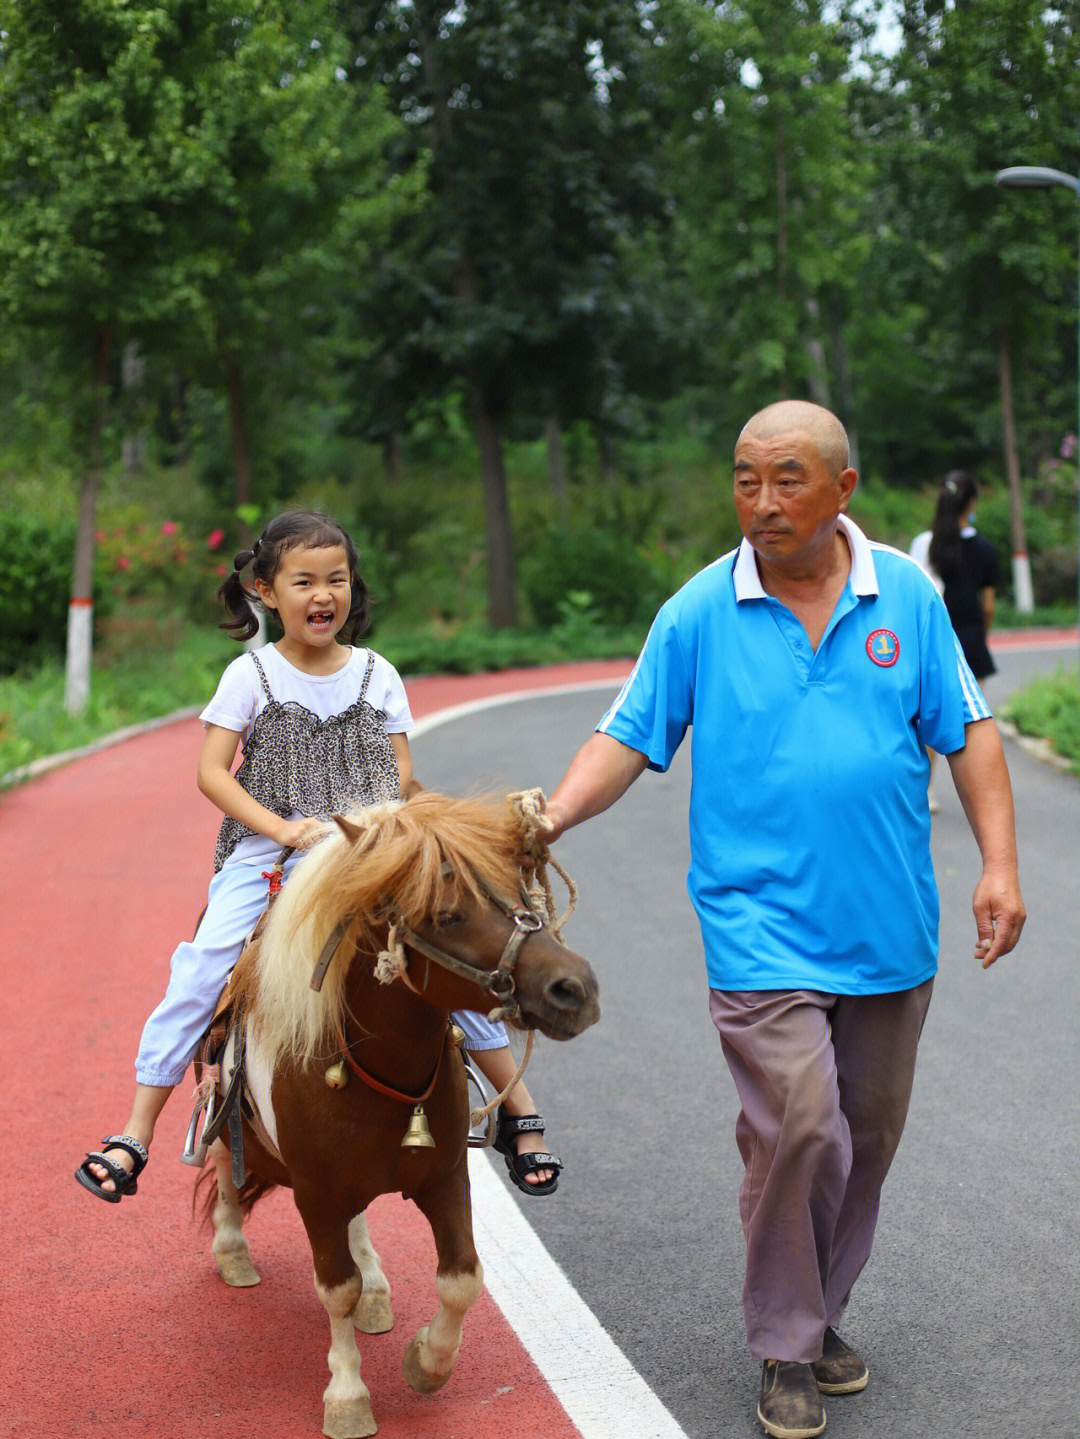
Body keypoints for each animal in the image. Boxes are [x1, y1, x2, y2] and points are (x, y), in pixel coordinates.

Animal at [194, 794, 601, 1433]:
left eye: (520, 889)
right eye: (447, 915)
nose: (574, 987)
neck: (379, 1070)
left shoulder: (445, 1177)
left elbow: (462, 1278)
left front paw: (426, 1364)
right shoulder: (315, 1192)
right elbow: (335, 1290)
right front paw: (347, 1396)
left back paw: (376, 1289)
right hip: (228, 1113)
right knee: (225, 1166)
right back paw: (232, 1250)